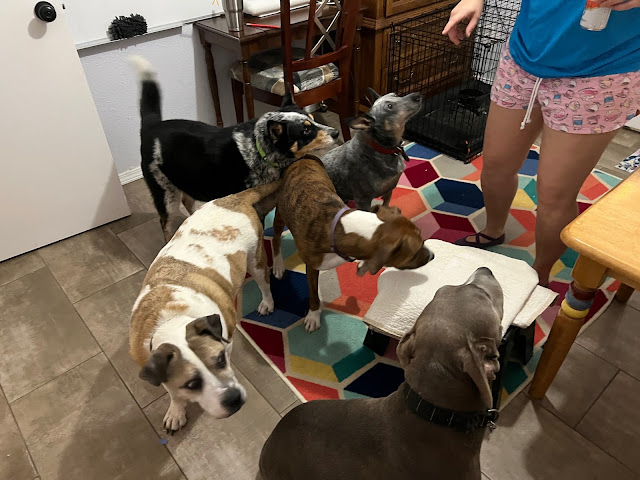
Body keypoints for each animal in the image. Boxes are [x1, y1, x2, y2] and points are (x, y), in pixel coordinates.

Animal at [128, 56, 339, 241]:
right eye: (306, 130)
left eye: (312, 120)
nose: (336, 133)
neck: (260, 151)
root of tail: (152, 125)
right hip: (166, 194)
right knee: (166, 223)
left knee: (187, 200)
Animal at [129, 179, 281, 433]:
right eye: (191, 384)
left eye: (220, 360)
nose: (233, 399)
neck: (171, 319)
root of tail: (232, 199)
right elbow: (172, 392)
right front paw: (176, 410)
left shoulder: (226, 342)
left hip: (256, 261)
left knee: (265, 283)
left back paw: (267, 302)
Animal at [271, 156, 433, 332]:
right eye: (415, 252)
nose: (432, 256)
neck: (341, 228)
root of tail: (304, 158)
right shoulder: (313, 266)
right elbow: (313, 294)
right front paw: (313, 315)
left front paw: (363, 265)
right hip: (280, 215)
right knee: (275, 238)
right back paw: (278, 265)